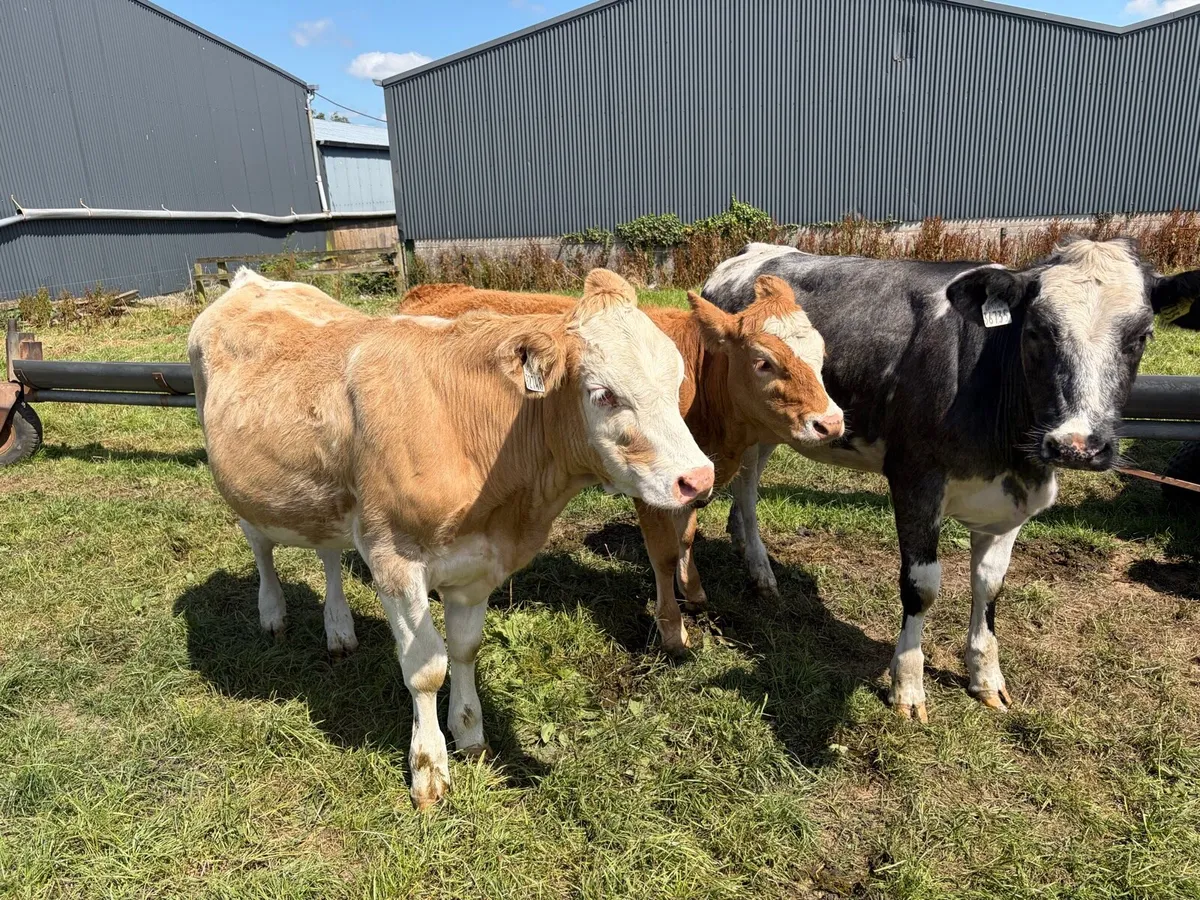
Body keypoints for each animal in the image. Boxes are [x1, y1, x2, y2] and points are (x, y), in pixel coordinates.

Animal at [188, 267, 715, 808]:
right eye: (603, 394)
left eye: (676, 382)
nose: (698, 479)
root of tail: (251, 280)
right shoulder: (394, 561)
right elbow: (426, 667)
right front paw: (428, 768)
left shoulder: (476, 565)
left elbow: (464, 650)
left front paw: (469, 734)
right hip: (243, 488)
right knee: (260, 546)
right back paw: (272, 613)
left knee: (329, 553)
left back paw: (339, 629)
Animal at [400, 276, 844, 653]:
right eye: (764, 361)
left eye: (821, 354)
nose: (831, 422)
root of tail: (434, 290)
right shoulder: (649, 487)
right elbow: (663, 553)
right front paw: (672, 630)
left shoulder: (692, 475)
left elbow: (686, 537)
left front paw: (694, 592)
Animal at [702, 239, 1200, 722]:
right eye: (1037, 331)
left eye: (1141, 336)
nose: (1076, 445)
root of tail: (754, 253)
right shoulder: (915, 480)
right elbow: (922, 586)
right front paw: (907, 687)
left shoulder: (1012, 499)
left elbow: (991, 583)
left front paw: (986, 678)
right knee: (746, 488)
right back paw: (760, 570)